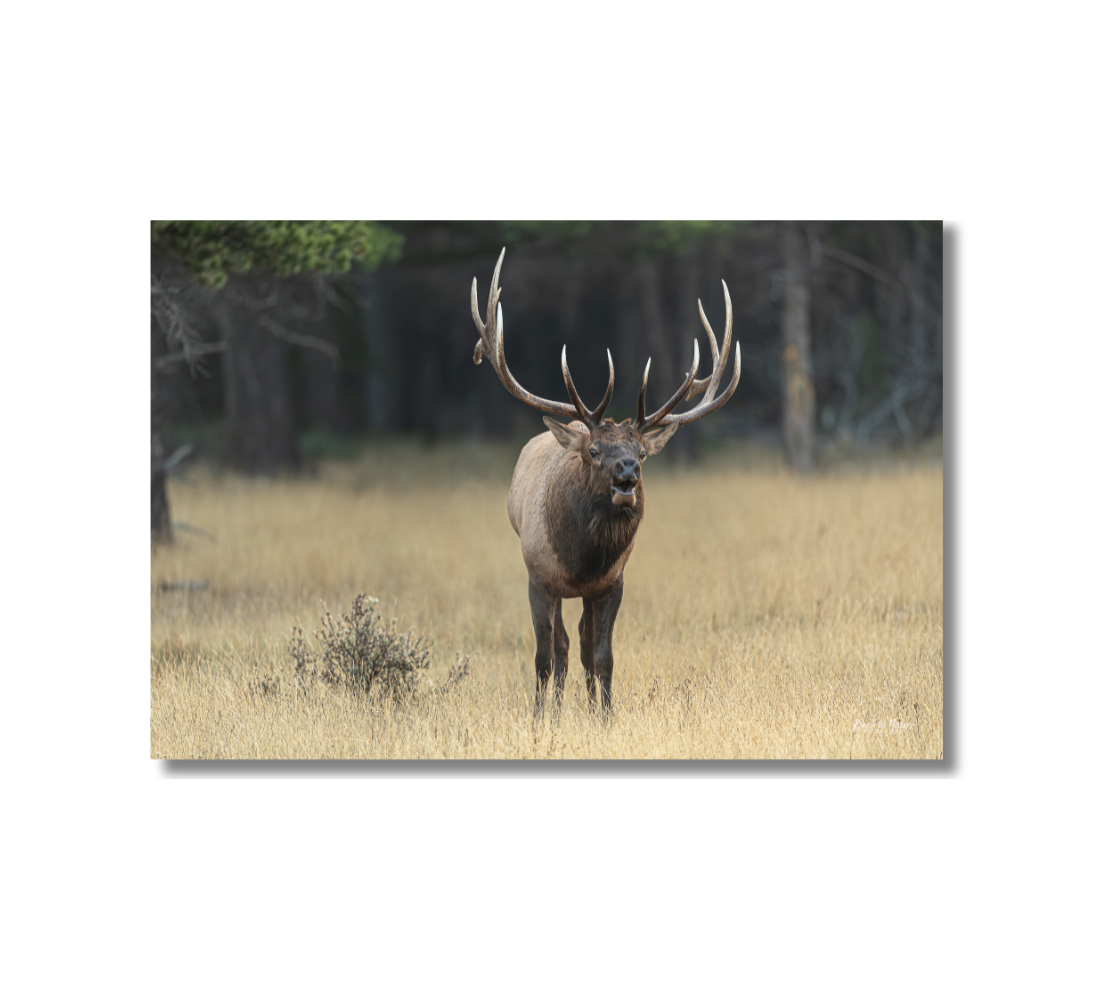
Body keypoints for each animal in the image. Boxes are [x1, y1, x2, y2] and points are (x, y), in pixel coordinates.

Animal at [470, 249, 740, 713]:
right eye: (594, 452)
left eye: (643, 453)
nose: (626, 473)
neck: (581, 560)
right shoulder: (538, 575)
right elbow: (544, 657)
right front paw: (541, 717)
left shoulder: (612, 582)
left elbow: (601, 655)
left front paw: (605, 715)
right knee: (560, 647)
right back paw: (556, 707)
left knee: (578, 643)